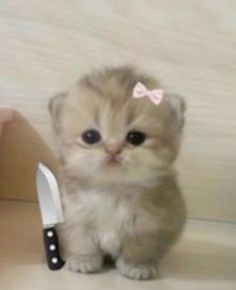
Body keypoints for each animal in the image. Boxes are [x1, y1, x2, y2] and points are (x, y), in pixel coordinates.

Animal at [49, 66, 186, 280]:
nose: (113, 149)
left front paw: (136, 266)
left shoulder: (149, 225)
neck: (113, 189)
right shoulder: (75, 217)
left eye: (136, 137)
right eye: (90, 136)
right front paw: (83, 261)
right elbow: (81, 241)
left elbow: (139, 247)